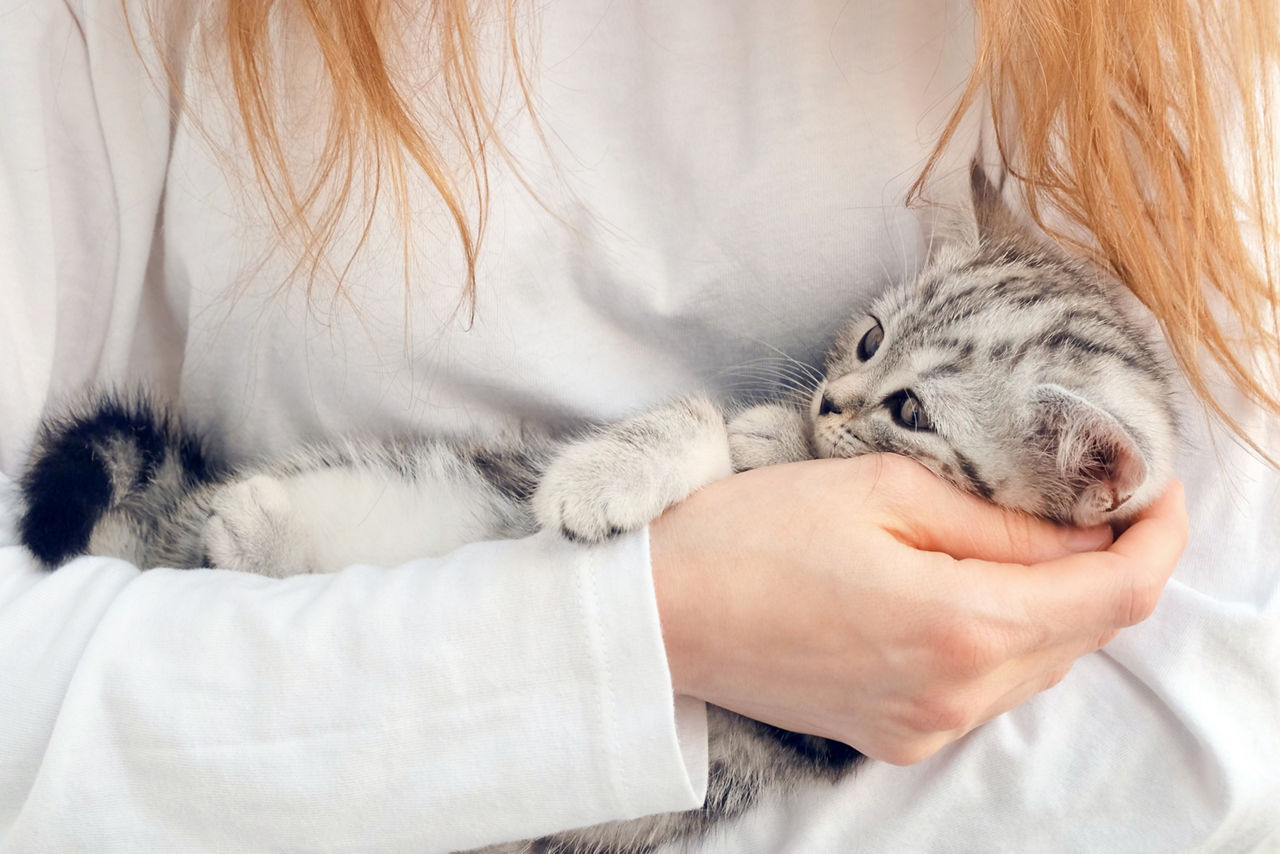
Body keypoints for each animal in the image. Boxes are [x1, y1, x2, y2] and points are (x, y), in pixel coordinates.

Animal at [20, 166, 1177, 854]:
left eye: (911, 409)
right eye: (868, 338)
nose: (828, 401)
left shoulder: (823, 728)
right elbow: (703, 420)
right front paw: (648, 459)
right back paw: (244, 519)